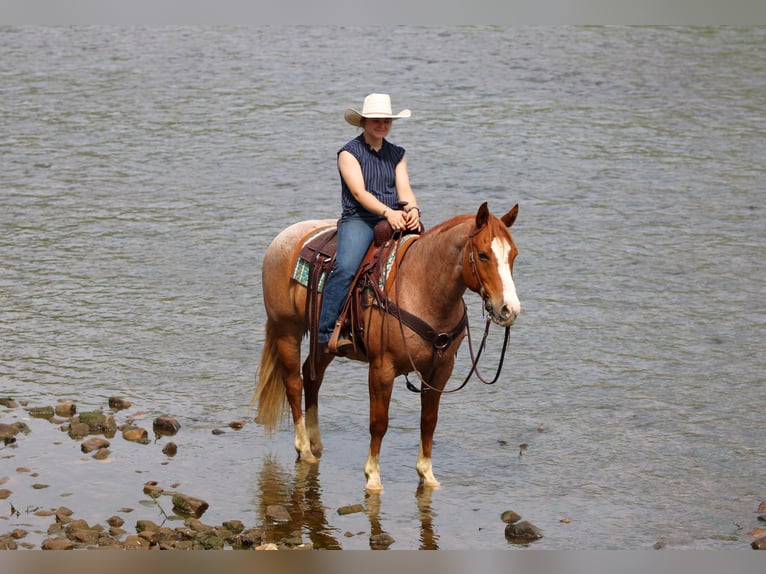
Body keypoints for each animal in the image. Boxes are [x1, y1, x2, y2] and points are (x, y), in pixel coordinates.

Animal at [252, 202, 520, 492]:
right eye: (482, 255)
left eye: (514, 255)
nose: (510, 309)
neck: (422, 287)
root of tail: (282, 238)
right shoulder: (382, 368)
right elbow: (378, 423)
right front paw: (372, 477)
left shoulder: (440, 370)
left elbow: (429, 421)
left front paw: (427, 475)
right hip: (286, 330)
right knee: (293, 382)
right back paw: (304, 448)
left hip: (323, 343)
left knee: (312, 378)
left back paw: (316, 443)